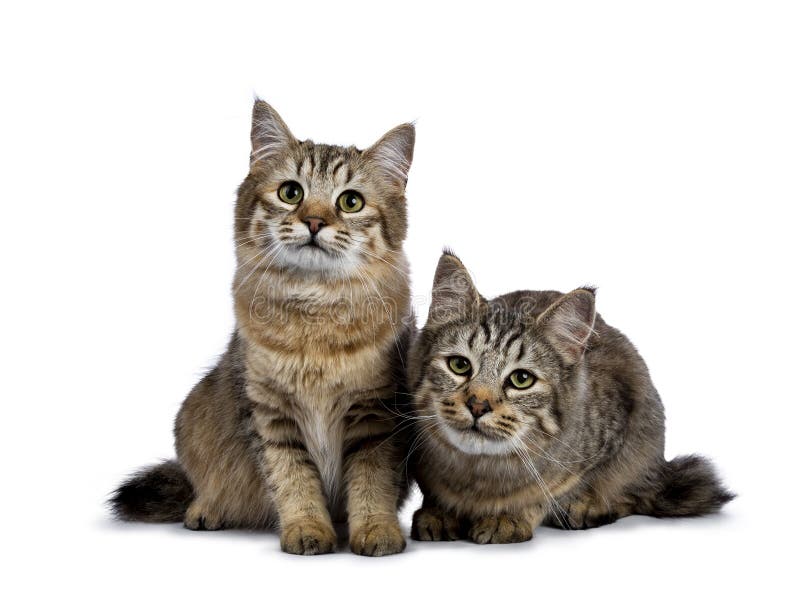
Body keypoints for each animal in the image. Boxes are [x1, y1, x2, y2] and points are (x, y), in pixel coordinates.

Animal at [111, 98, 418, 556]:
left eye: (350, 202)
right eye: (291, 193)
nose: (314, 222)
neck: (314, 314)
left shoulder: (375, 413)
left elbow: (371, 483)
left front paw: (375, 530)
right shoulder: (269, 414)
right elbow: (293, 480)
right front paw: (307, 529)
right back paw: (206, 509)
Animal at [410, 252, 736, 544]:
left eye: (521, 380)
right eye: (459, 365)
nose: (478, 405)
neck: (476, 473)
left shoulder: (613, 432)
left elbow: (548, 492)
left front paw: (510, 516)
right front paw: (439, 513)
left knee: (636, 494)